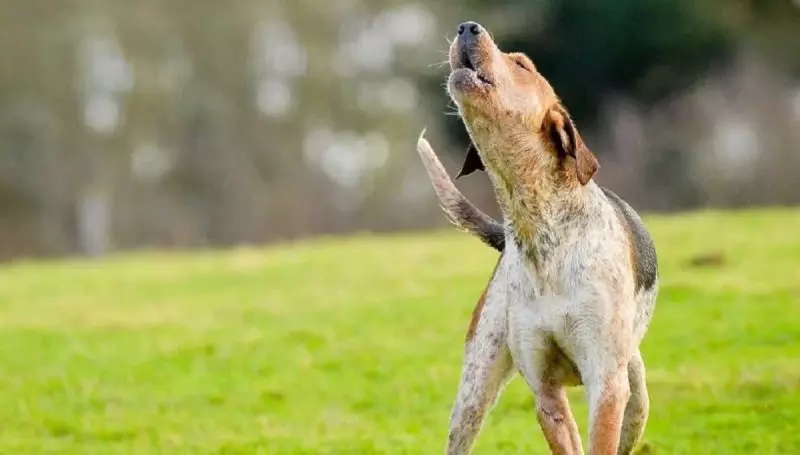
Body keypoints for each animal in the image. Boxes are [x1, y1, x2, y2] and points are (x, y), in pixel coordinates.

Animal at [416, 21, 660, 455]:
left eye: (522, 66)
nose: (467, 27)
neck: (539, 232)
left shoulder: (605, 385)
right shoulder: (546, 393)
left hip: (635, 399)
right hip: (472, 394)